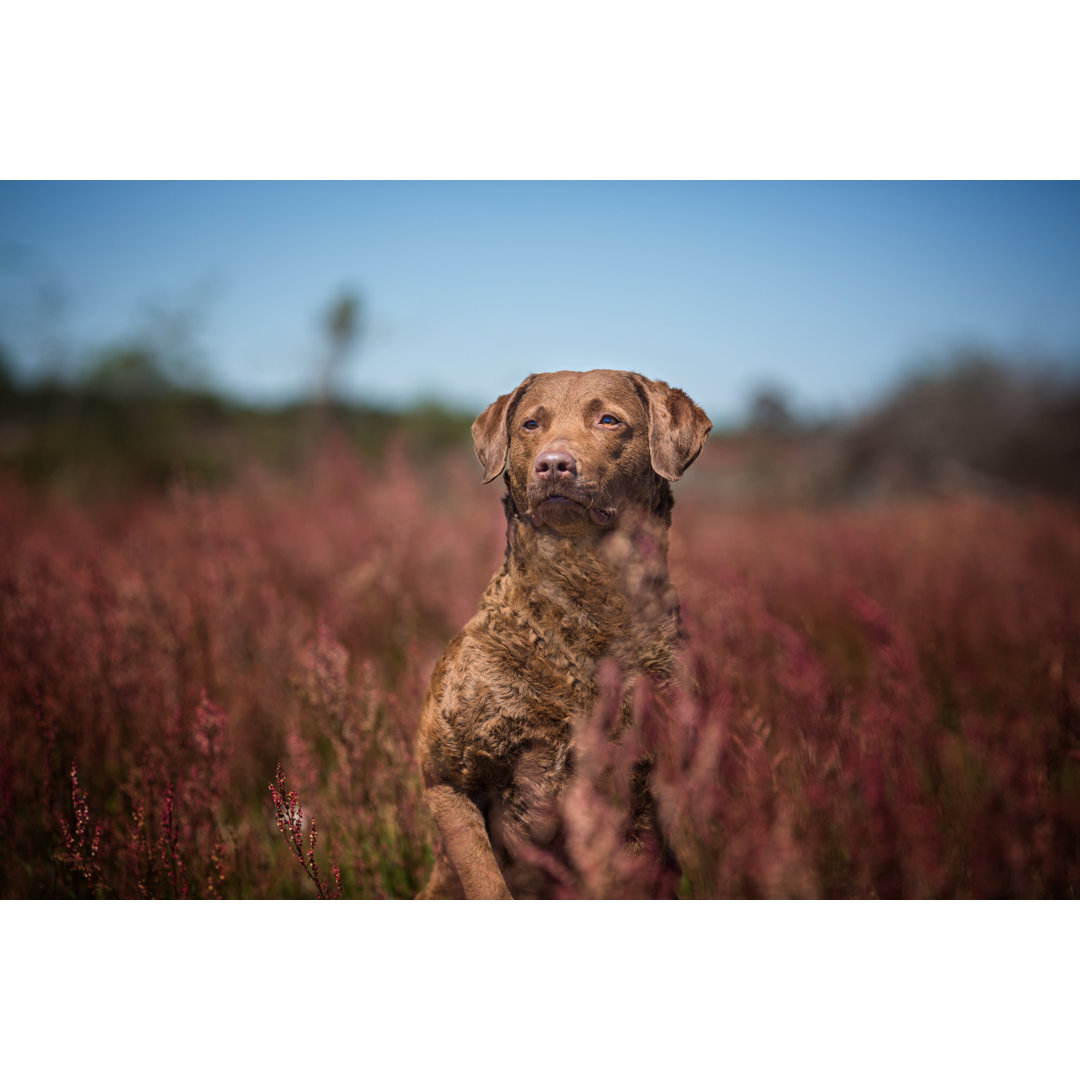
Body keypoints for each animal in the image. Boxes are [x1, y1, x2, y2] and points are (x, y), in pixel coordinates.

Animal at [416, 367, 712, 898]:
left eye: (609, 420)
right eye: (530, 424)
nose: (554, 465)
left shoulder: (648, 786)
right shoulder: (444, 776)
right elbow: (487, 882)